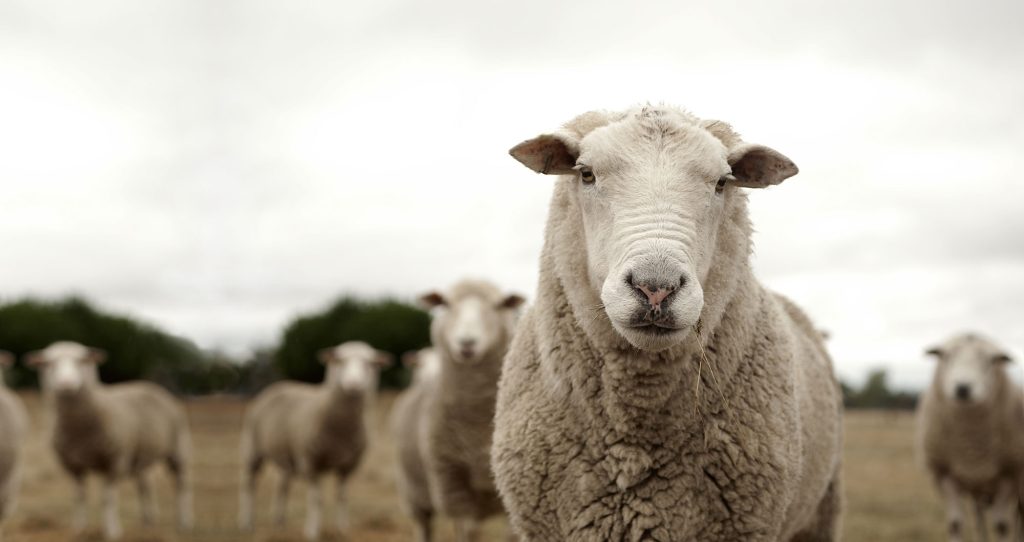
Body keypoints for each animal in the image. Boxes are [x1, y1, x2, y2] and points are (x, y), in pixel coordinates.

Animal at [25, 341, 193, 540]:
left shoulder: (115, 461)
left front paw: (112, 531)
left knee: (181, 485)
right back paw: (148, 521)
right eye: (48, 363)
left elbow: (107, 499)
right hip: (142, 457)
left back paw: (184, 522)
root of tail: (151, 385)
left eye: (83, 360)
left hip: (178, 448)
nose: (66, 384)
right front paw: (79, 529)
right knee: (145, 486)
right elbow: (79, 497)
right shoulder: (72, 466)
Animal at [238, 340, 391, 541]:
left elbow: (342, 497)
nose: (353, 384)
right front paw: (312, 531)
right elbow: (316, 499)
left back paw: (279, 521)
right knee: (249, 484)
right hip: (252, 448)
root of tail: (278, 385)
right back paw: (247, 523)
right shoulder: (310, 462)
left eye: (370, 363)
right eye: (339, 361)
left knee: (282, 485)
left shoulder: (349, 465)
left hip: (285, 456)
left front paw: (342, 529)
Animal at [393, 280, 524, 542]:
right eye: (445, 303)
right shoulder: (453, 483)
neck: (478, 424)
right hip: (413, 493)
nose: (467, 342)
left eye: (498, 305)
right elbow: (469, 530)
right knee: (424, 527)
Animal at [917, 332, 1024, 542]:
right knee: (979, 520)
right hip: (978, 489)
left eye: (991, 360)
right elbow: (955, 523)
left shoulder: (1008, 475)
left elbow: (1001, 526)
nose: (963, 388)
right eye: (945, 356)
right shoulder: (945, 475)